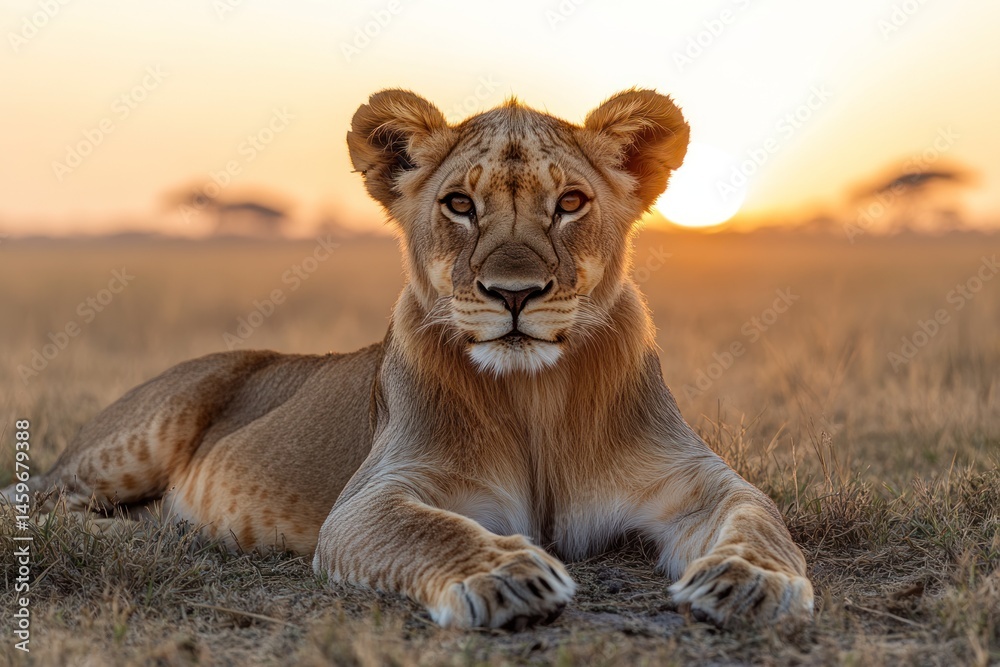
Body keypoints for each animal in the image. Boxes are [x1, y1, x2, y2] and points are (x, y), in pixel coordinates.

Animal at [5, 89, 814, 630]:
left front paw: (750, 582)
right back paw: (162, 529)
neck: (533, 395)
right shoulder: (372, 497)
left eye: (570, 203)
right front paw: (508, 576)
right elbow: (434, 529)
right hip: (149, 427)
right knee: (45, 501)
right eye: (459, 205)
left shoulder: (696, 482)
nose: (513, 293)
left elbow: (759, 516)